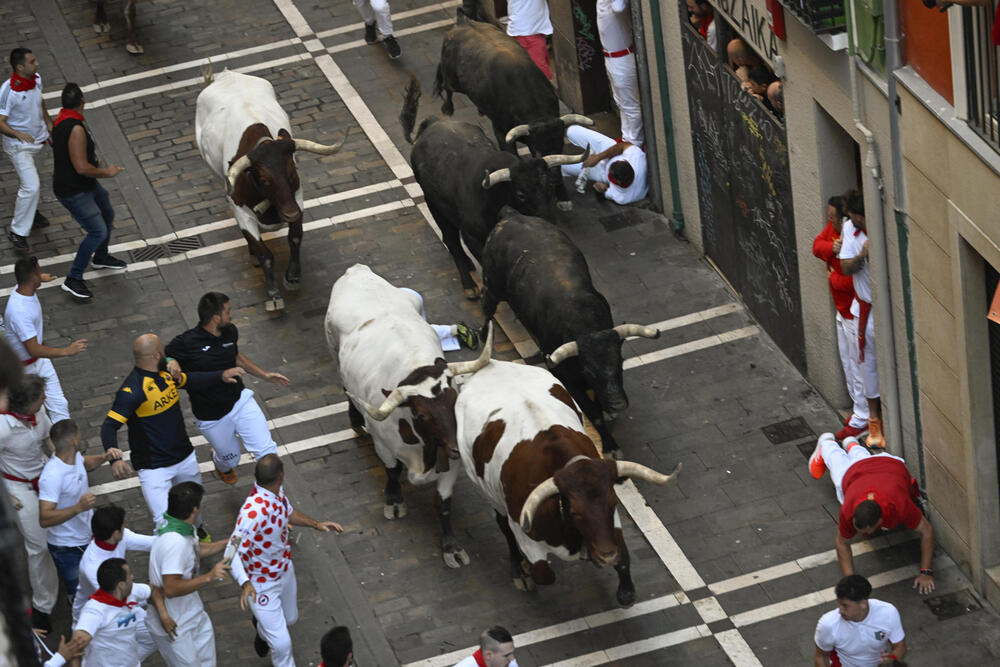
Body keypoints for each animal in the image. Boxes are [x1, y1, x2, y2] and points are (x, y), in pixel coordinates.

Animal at [195, 69, 344, 312]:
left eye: (292, 173)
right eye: (264, 180)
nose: (290, 214)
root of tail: (226, 74)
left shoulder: (297, 199)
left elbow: (295, 237)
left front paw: (292, 276)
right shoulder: (241, 211)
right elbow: (264, 252)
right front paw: (273, 293)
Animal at [326, 264, 494, 568]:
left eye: (455, 400)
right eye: (421, 414)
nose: (457, 448)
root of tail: (356, 271)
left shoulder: (449, 460)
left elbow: (443, 504)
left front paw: (450, 547)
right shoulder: (384, 445)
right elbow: (392, 472)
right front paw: (394, 501)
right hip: (333, 350)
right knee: (344, 388)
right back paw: (355, 420)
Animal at [458, 360, 680, 604]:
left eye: (613, 503)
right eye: (574, 512)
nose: (607, 556)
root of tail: (491, 365)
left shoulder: (611, 525)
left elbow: (624, 563)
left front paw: (624, 588)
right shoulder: (525, 534)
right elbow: (544, 574)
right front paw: (526, 570)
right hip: (485, 491)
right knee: (502, 525)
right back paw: (518, 569)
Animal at [480, 211, 660, 456]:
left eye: (620, 363)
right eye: (589, 371)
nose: (618, 404)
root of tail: (511, 216)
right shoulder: (566, 378)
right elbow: (594, 413)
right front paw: (610, 445)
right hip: (493, 285)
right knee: (487, 304)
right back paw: (483, 335)